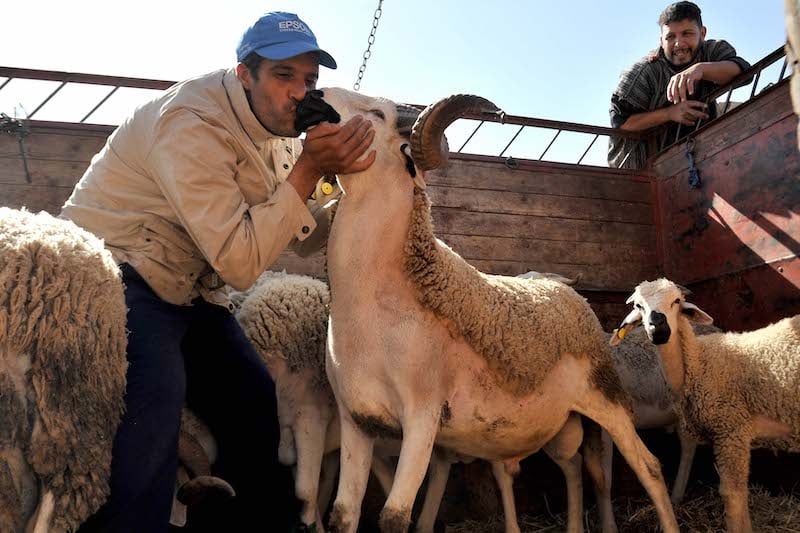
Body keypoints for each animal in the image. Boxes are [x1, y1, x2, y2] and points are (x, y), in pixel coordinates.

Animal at [316, 90, 680, 532]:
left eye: (376, 112)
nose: (316, 96)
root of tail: (561, 288)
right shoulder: (356, 419)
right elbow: (342, 516)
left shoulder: (421, 417)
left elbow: (394, 518)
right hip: (559, 422)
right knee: (573, 467)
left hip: (605, 399)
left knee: (646, 466)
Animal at [608, 278, 796, 532]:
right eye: (639, 305)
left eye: (677, 301)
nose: (658, 328)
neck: (699, 361)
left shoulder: (731, 432)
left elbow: (733, 498)